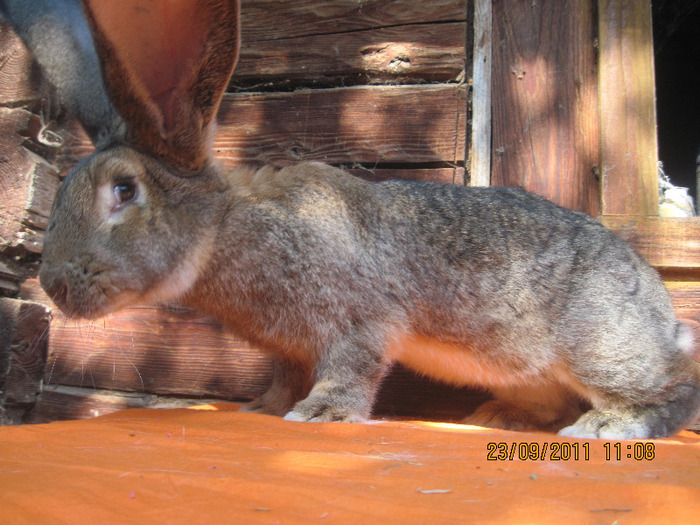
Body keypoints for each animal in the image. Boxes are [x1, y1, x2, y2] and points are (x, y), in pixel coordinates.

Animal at [39, 0, 700, 438]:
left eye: (124, 189)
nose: (52, 285)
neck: (226, 223)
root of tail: (666, 318)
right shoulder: (289, 348)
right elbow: (286, 376)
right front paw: (264, 408)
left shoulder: (357, 322)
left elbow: (348, 368)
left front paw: (318, 417)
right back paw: (500, 417)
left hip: (602, 348)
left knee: (673, 389)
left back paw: (607, 428)